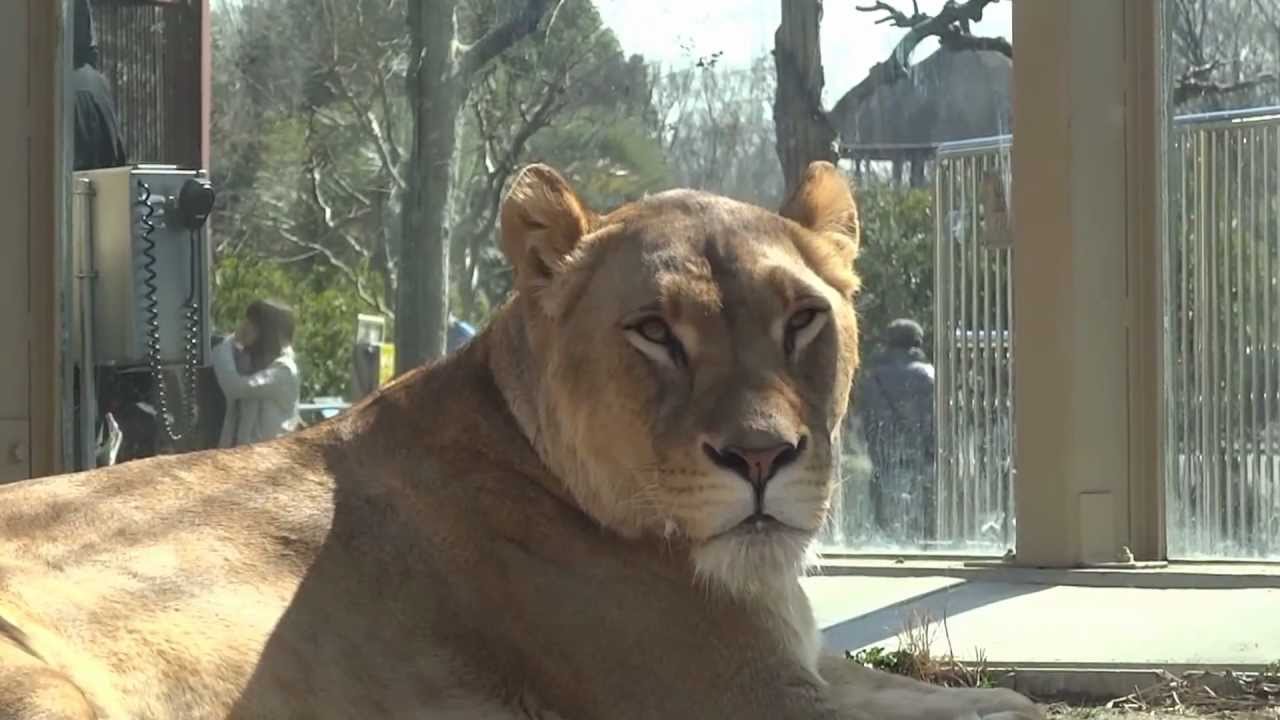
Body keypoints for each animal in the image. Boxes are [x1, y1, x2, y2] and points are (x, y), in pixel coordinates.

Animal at [0, 162, 1041, 720]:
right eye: (654, 332)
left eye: (801, 320)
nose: (760, 459)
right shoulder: (743, 696)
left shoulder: (806, 667)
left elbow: (990, 701)